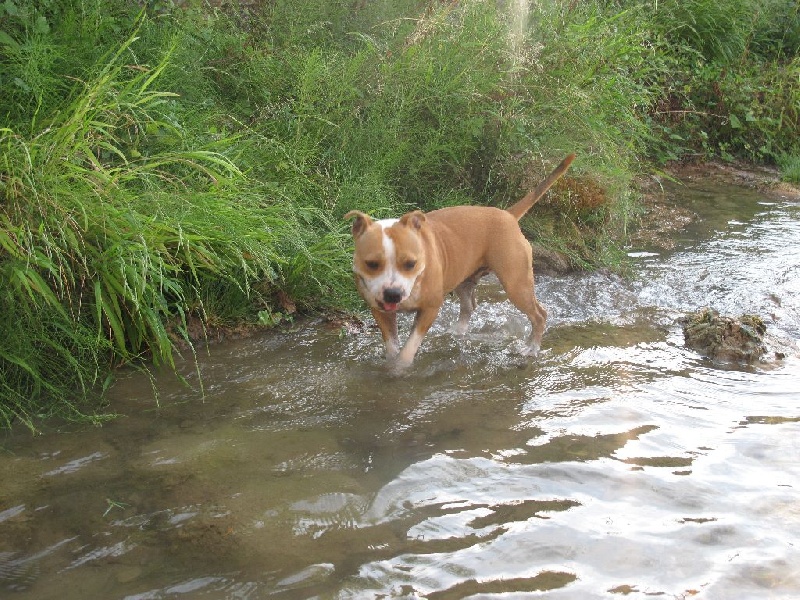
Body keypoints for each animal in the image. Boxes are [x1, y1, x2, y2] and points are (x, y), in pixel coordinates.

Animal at [344, 152, 576, 368]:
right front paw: (392, 364)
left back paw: (531, 348)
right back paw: (457, 332)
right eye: (372, 264)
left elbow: (410, 346)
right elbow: (392, 344)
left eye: (411, 263)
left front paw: (401, 367)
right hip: (465, 280)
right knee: (469, 306)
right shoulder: (380, 311)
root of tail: (508, 215)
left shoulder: (430, 309)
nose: (393, 294)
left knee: (539, 314)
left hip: (516, 284)